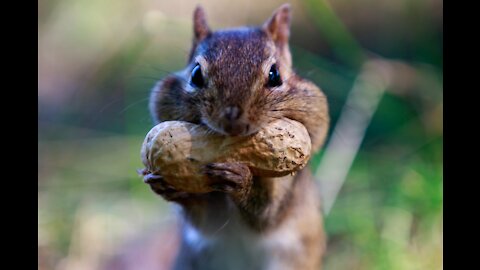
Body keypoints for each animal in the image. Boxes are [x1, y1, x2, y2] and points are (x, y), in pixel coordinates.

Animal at [144, 3, 328, 270]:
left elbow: (266, 215)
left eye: (275, 75)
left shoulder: (287, 187)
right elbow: (205, 220)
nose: (232, 118)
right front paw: (165, 186)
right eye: (195, 74)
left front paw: (240, 179)